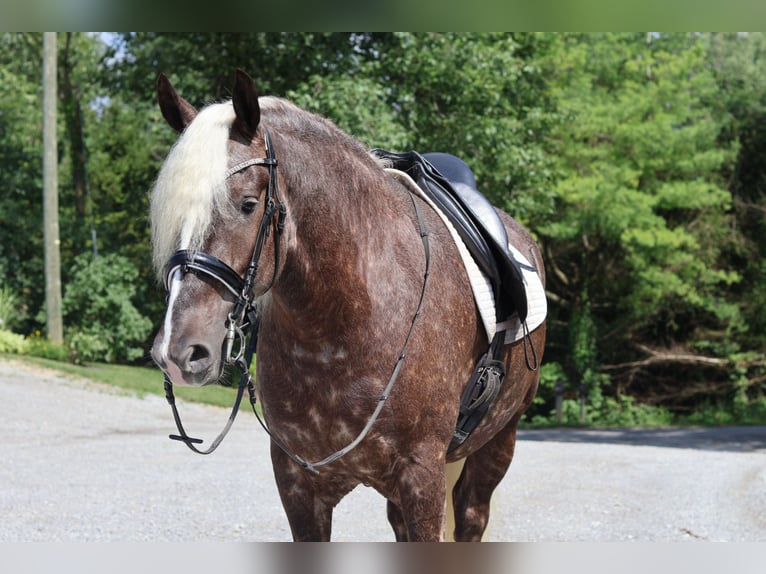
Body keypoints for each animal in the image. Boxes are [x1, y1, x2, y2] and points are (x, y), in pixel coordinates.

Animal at [149, 69, 546, 542]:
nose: (178, 352)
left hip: (500, 440)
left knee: (471, 517)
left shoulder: (423, 473)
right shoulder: (299, 484)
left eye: (247, 205)